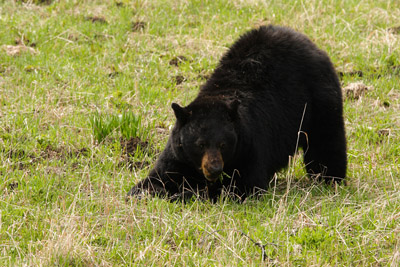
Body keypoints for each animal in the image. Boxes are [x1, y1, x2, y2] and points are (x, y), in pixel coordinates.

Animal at [128, 25, 346, 201]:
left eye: (223, 144)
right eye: (200, 144)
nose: (214, 168)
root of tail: (309, 42)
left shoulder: (251, 144)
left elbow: (243, 186)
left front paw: (189, 193)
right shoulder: (179, 152)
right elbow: (159, 176)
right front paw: (145, 191)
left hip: (319, 99)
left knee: (326, 142)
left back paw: (330, 178)